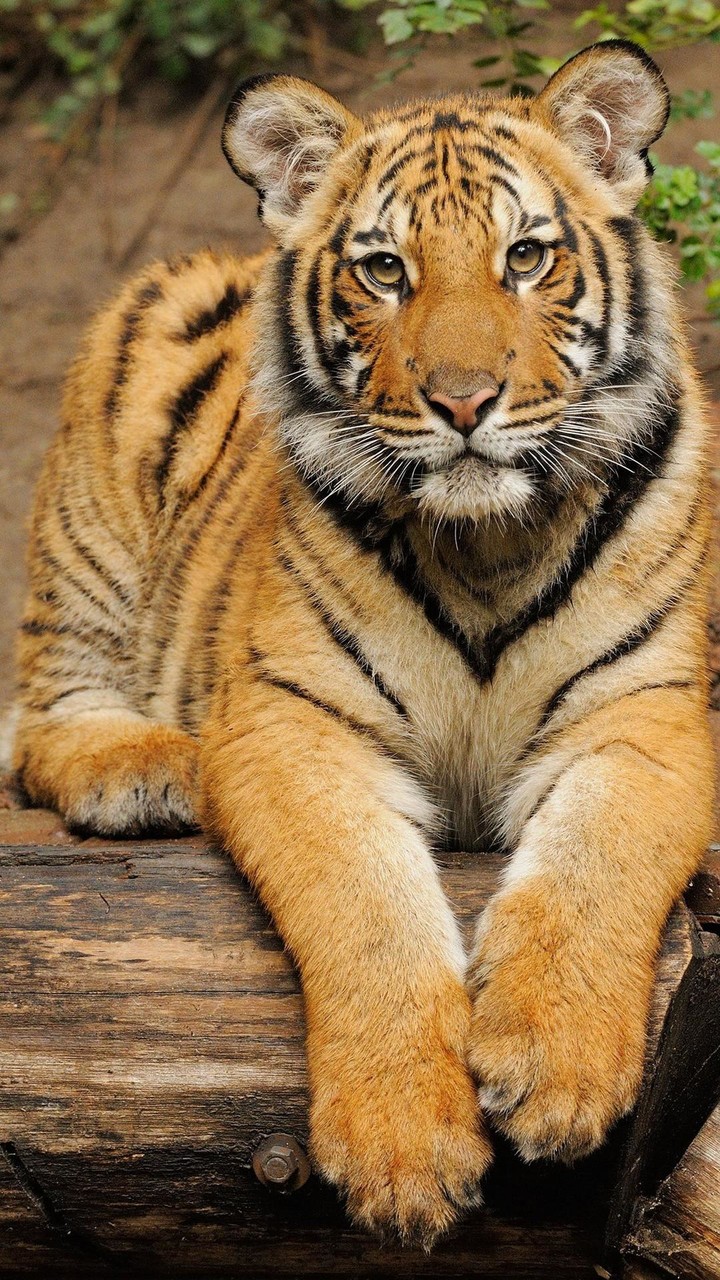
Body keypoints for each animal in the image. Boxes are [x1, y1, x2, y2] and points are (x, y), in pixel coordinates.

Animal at [13, 38, 714, 1246]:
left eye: (526, 256)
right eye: (385, 270)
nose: (465, 401)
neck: (486, 544)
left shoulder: (652, 713)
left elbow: (599, 855)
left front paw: (556, 1069)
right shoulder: (292, 726)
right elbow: (365, 904)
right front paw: (401, 1149)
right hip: (101, 501)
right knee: (39, 712)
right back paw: (145, 767)